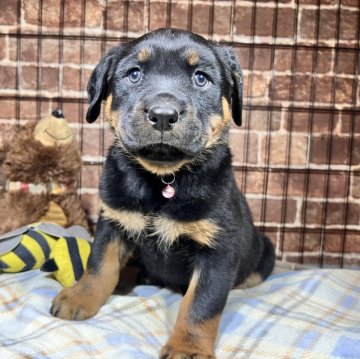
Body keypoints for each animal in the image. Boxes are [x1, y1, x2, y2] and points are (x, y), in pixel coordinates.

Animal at [50, 28, 274, 359]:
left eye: (201, 78)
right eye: (134, 74)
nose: (164, 115)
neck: (163, 178)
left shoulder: (219, 248)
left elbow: (201, 304)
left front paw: (188, 347)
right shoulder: (112, 221)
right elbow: (99, 265)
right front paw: (80, 297)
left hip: (265, 249)